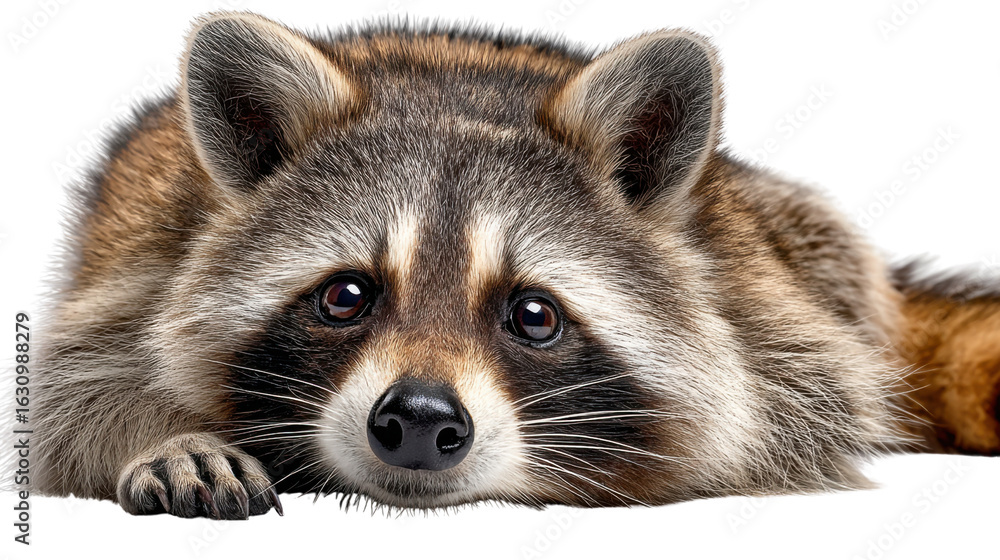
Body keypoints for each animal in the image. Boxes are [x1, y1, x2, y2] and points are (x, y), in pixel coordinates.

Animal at [27, 11, 999, 519]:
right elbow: (70, 398)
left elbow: (772, 416)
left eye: (533, 314)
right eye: (346, 295)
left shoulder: (767, 319)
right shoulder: (140, 266)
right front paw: (166, 435)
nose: (419, 421)